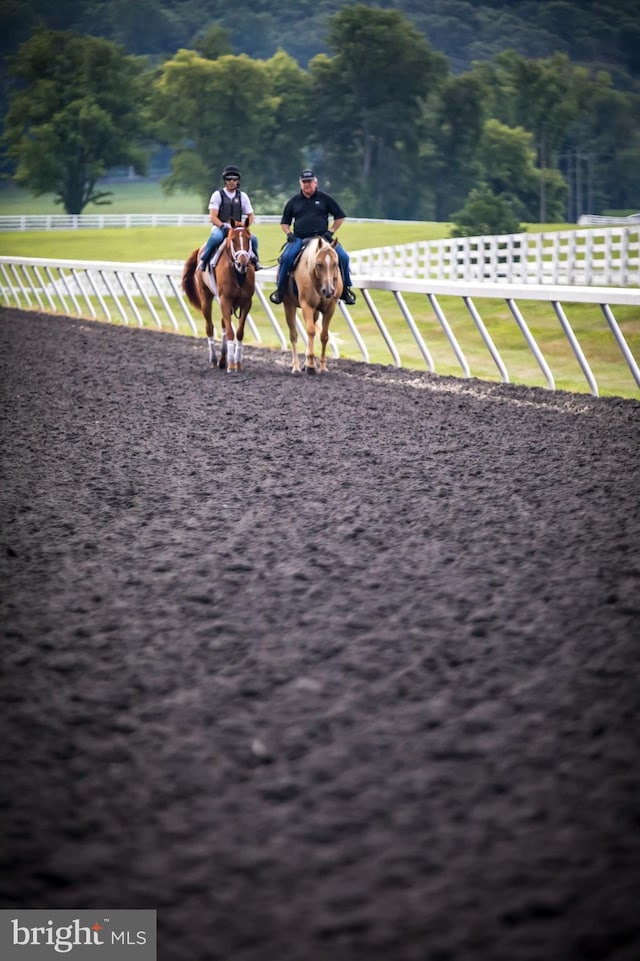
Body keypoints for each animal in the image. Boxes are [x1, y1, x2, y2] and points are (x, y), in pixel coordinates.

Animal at [180, 218, 255, 372]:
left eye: (248, 239)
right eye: (233, 240)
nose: (243, 263)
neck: (238, 274)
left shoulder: (246, 302)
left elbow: (239, 332)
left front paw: (237, 362)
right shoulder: (225, 300)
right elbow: (231, 331)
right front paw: (231, 365)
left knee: (223, 324)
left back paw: (222, 359)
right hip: (206, 297)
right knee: (209, 327)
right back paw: (214, 359)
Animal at [284, 236, 342, 376]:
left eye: (335, 264)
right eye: (319, 264)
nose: (329, 291)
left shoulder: (330, 308)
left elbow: (324, 336)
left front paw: (322, 367)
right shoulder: (306, 305)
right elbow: (310, 331)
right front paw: (310, 365)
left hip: (315, 312)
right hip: (289, 305)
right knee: (293, 334)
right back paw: (296, 367)